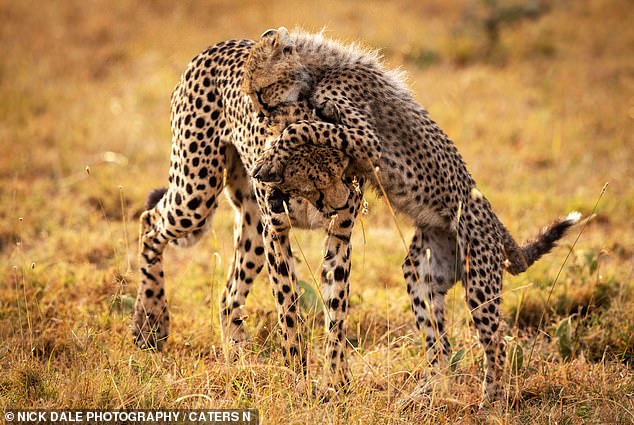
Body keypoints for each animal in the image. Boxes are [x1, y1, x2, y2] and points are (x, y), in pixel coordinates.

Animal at [244, 27, 580, 400]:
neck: (321, 67)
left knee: (497, 344)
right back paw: (427, 392)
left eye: (260, 92)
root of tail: (496, 224)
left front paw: (270, 158)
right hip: (422, 274)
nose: (260, 114)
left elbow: (300, 129)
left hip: (480, 280)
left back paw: (489, 398)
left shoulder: (366, 139)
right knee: (440, 345)